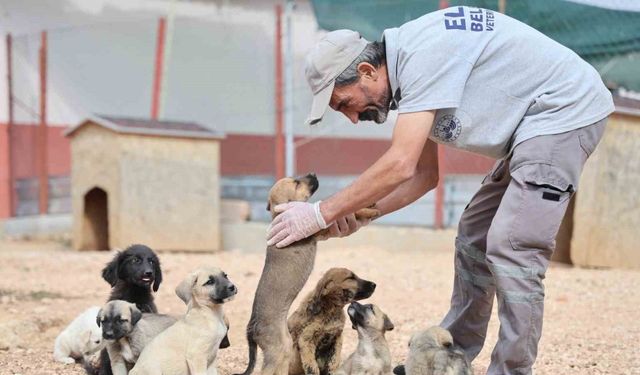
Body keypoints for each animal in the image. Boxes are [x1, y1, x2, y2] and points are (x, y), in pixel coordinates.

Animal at [239, 176, 380, 375]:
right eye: (297, 183)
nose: (314, 174)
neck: (280, 215)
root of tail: (251, 328)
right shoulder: (320, 228)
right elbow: (349, 211)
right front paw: (369, 209)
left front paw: (370, 203)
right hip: (277, 352)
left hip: (284, 349)